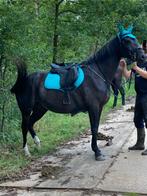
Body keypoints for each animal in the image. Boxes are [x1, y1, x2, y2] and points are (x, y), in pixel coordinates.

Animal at [10, 29, 145, 161]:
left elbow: (96, 127)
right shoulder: (93, 107)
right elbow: (94, 128)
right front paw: (97, 152)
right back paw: (26, 151)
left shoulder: (99, 108)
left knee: (30, 124)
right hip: (26, 109)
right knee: (24, 126)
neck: (97, 73)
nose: (143, 56)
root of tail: (25, 80)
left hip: (41, 108)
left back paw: (38, 144)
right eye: (127, 40)